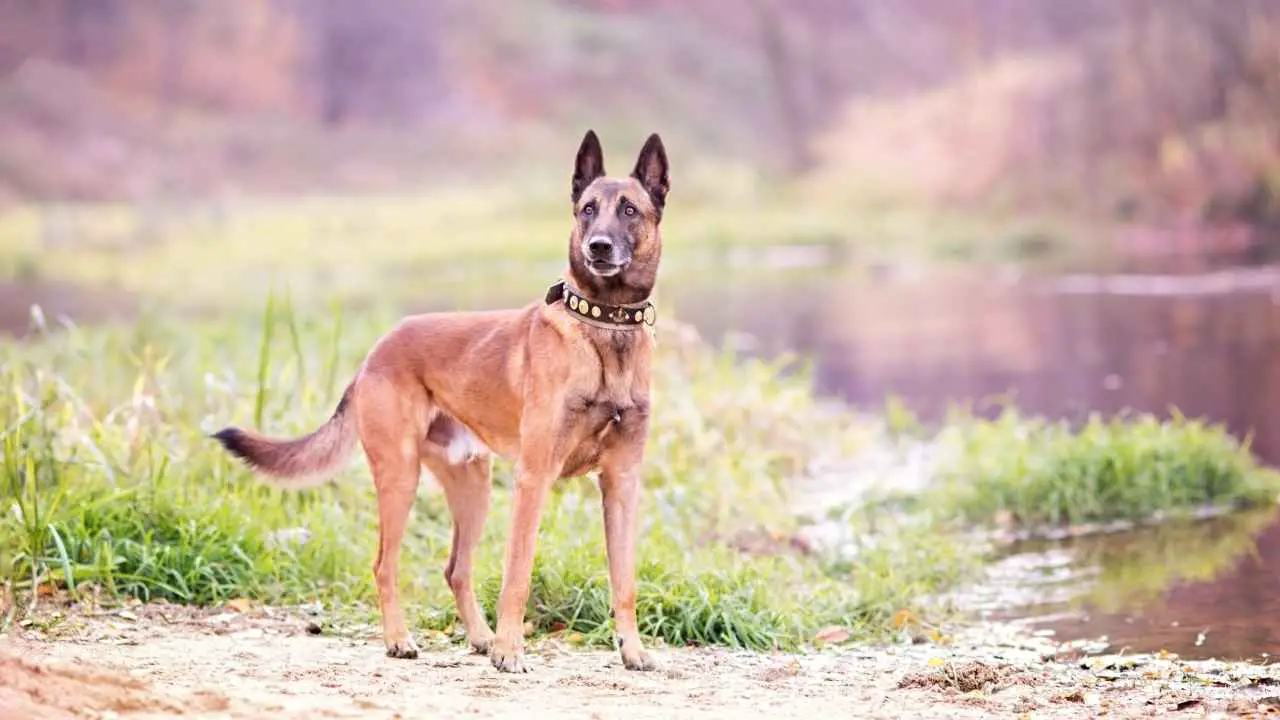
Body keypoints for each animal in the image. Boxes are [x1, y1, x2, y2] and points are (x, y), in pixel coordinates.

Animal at [212, 130, 670, 671]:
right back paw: (401, 639)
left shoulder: (621, 483)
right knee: (384, 565)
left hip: (473, 486)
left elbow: (625, 580)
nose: (597, 246)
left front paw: (632, 650)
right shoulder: (534, 479)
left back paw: (480, 638)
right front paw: (511, 651)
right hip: (400, 476)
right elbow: (517, 574)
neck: (605, 326)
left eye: (629, 210)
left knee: (456, 569)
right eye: (587, 210)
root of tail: (375, 353)